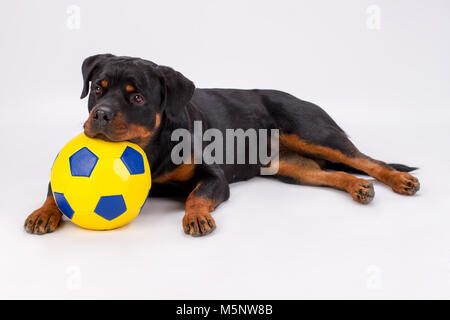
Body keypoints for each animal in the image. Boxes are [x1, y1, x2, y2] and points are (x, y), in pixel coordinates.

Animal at [23, 53, 418, 236]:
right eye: (97, 88)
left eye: (136, 98)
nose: (101, 114)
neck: (150, 148)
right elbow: (54, 189)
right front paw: (44, 212)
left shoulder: (214, 176)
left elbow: (197, 194)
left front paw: (197, 216)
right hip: (292, 167)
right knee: (331, 174)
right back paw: (358, 188)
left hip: (314, 131)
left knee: (365, 160)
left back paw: (398, 180)